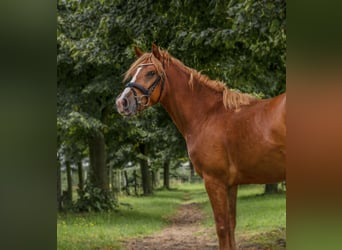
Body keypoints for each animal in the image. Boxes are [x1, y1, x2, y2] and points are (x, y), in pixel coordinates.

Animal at [115, 45, 286, 250]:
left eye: (151, 72)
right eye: (134, 72)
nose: (122, 102)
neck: (207, 115)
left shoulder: (214, 181)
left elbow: (222, 227)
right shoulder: (230, 184)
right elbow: (231, 225)